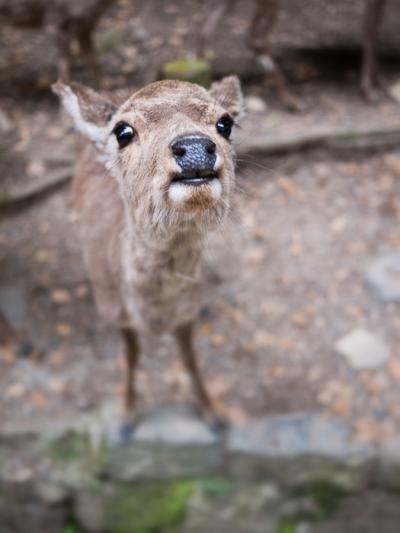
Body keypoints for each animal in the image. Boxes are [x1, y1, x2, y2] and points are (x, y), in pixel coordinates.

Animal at [52, 75, 244, 434]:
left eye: (225, 123)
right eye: (123, 131)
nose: (194, 146)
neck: (154, 316)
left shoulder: (188, 309)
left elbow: (190, 359)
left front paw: (213, 414)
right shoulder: (115, 312)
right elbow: (131, 355)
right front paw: (127, 417)